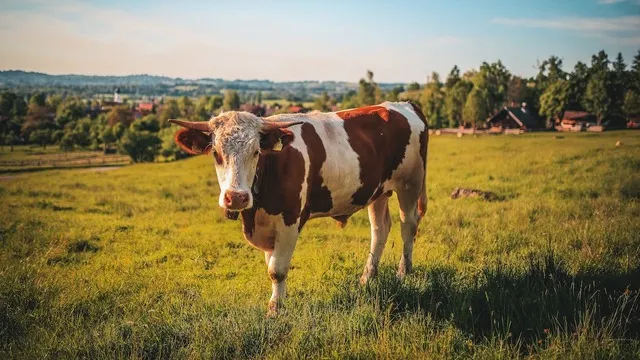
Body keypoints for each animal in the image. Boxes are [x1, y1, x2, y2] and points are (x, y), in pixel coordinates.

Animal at [170, 100, 430, 314]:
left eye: (256, 152)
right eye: (216, 153)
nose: (236, 197)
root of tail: (403, 104)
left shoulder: (290, 219)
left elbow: (277, 270)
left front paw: (275, 309)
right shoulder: (268, 227)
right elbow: (271, 264)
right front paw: (278, 301)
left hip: (410, 183)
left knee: (408, 226)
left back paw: (403, 273)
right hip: (378, 191)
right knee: (380, 230)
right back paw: (367, 278)